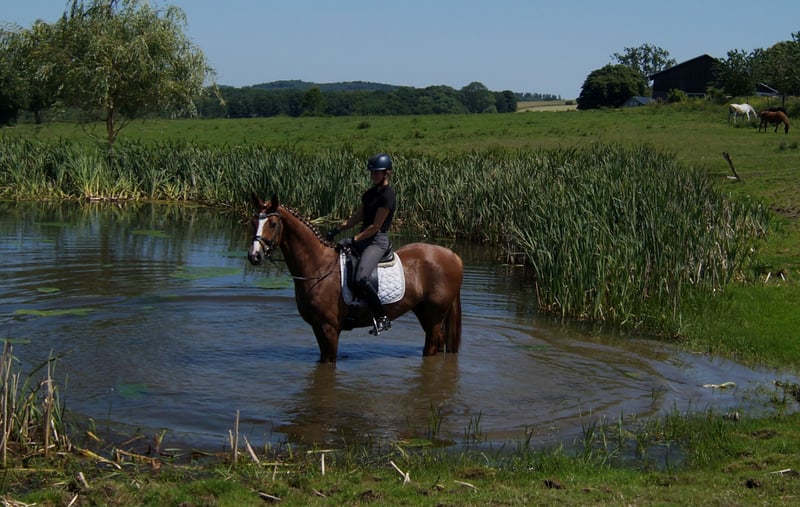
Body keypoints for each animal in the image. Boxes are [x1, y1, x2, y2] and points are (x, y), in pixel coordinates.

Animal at [246, 193, 464, 363]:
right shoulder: (318, 327)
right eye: (254, 222)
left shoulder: (330, 328)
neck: (319, 266)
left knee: (431, 345)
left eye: (273, 224)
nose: (254, 256)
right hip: (423, 311)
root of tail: (453, 256)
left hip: (435, 314)